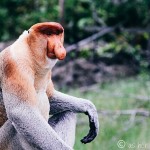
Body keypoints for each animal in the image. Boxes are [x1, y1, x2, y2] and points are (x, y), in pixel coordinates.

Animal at [0, 22, 99, 150]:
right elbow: (22, 112)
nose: (60, 47)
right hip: (7, 142)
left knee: (67, 113)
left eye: (57, 34)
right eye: (48, 33)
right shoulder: (15, 64)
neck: (31, 53)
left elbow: (50, 97)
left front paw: (89, 108)